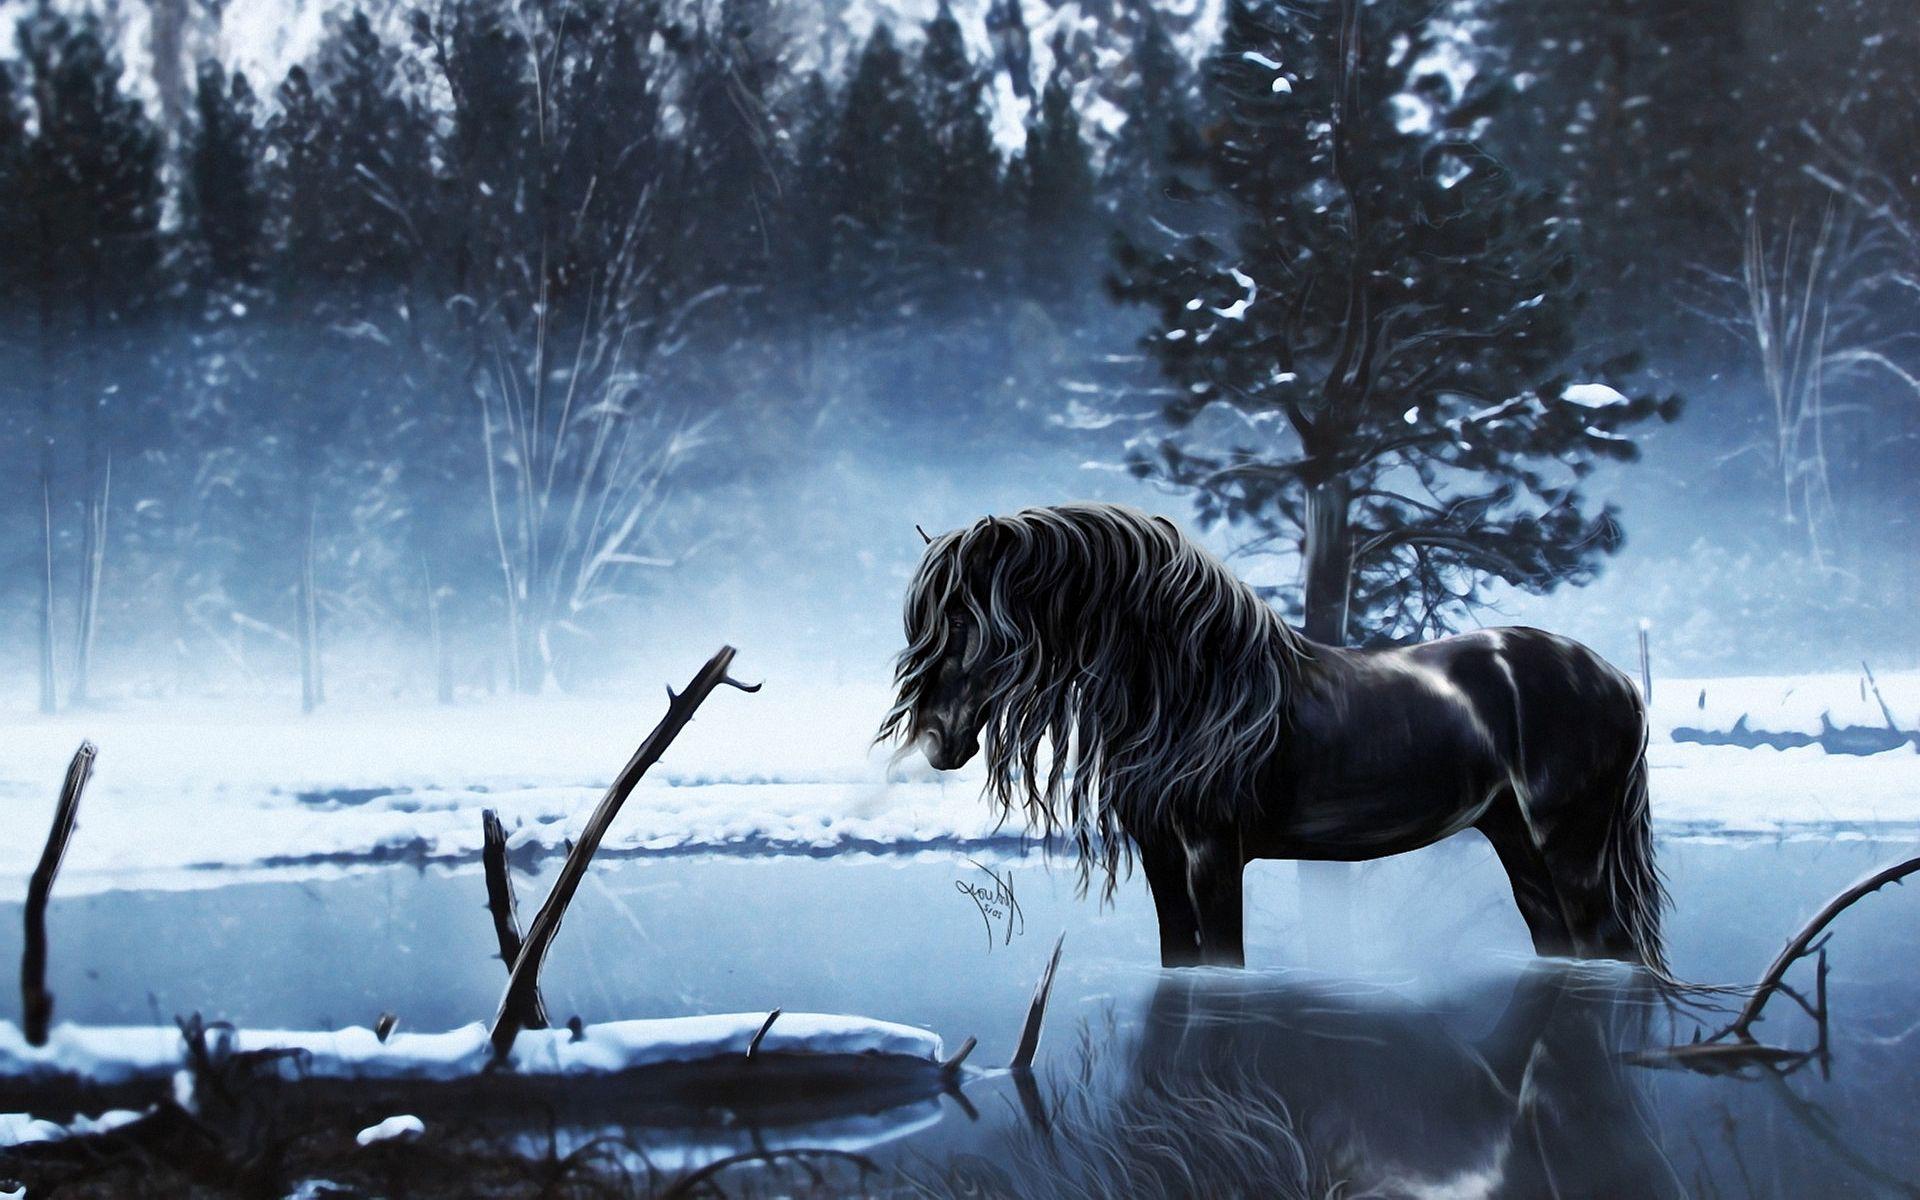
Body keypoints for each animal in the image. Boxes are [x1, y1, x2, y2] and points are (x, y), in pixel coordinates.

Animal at [878, 502, 1667, 971]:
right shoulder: (1161, 856)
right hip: (1517, 843)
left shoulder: (1212, 855)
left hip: (1572, 847)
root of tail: (1617, 680)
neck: (1194, 692)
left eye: (963, 619)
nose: (937, 741)